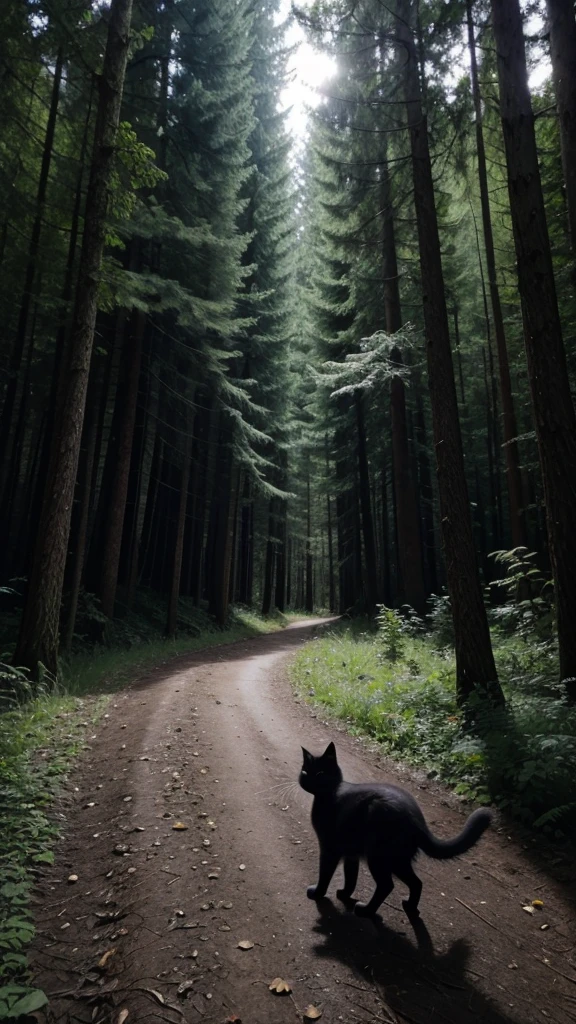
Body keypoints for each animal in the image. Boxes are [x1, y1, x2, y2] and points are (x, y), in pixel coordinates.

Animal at [297, 741, 491, 917]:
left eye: (320, 773)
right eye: (305, 772)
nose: (309, 780)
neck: (328, 796)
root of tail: (418, 821)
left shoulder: (330, 848)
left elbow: (325, 874)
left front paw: (317, 893)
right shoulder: (351, 853)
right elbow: (351, 876)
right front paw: (344, 894)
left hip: (380, 857)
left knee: (386, 885)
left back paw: (366, 910)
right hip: (398, 860)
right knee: (416, 882)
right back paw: (410, 907)